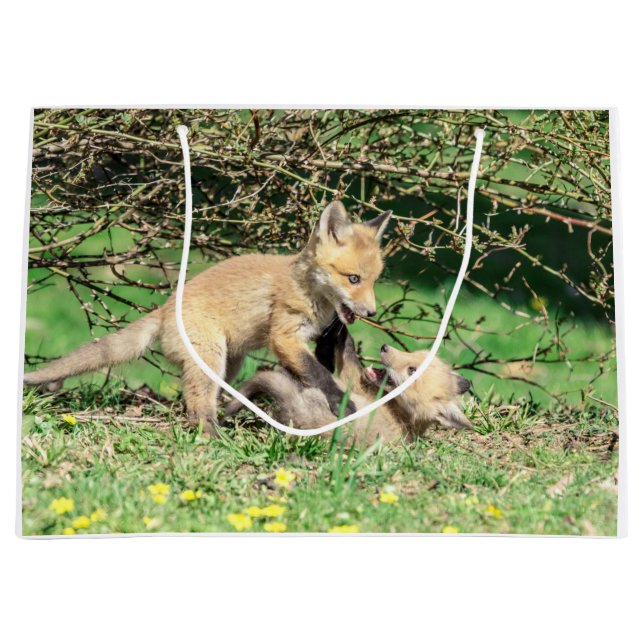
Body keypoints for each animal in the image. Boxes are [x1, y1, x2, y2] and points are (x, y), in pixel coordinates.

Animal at [23, 202, 391, 435]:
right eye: (353, 279)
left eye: (374, 281)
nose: (372, 312)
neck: (310, 293)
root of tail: (164, 309)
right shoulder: (284, 336)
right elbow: (318, 374)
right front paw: (341, 404)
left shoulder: (311, 340)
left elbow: (315, 367)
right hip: (211, 357)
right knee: (197, 404)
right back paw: (211, 434)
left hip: (230, 361)